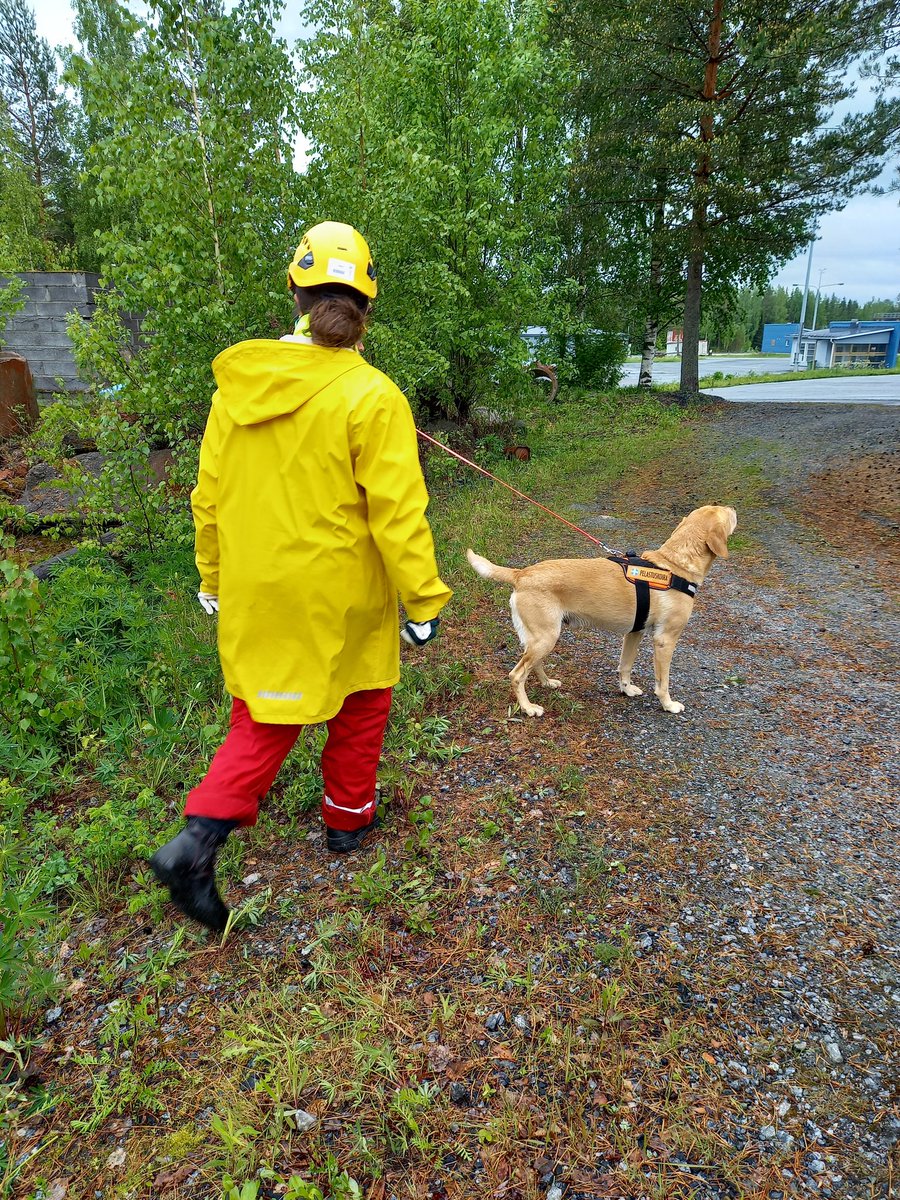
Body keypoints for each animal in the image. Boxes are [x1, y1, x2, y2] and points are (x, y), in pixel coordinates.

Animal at [468, 504, 734, 715]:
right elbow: (663, 682)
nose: (732, 508)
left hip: (541, 639)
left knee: (533, 665)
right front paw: (668, 705)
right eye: (723, 511)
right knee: (517, 675)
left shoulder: (634, 634)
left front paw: (626, 690)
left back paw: (547, 683)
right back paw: (528, 708)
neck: (675, 565)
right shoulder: (665, 641)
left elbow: (625, 666)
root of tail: (521, 573)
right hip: (546, 638)